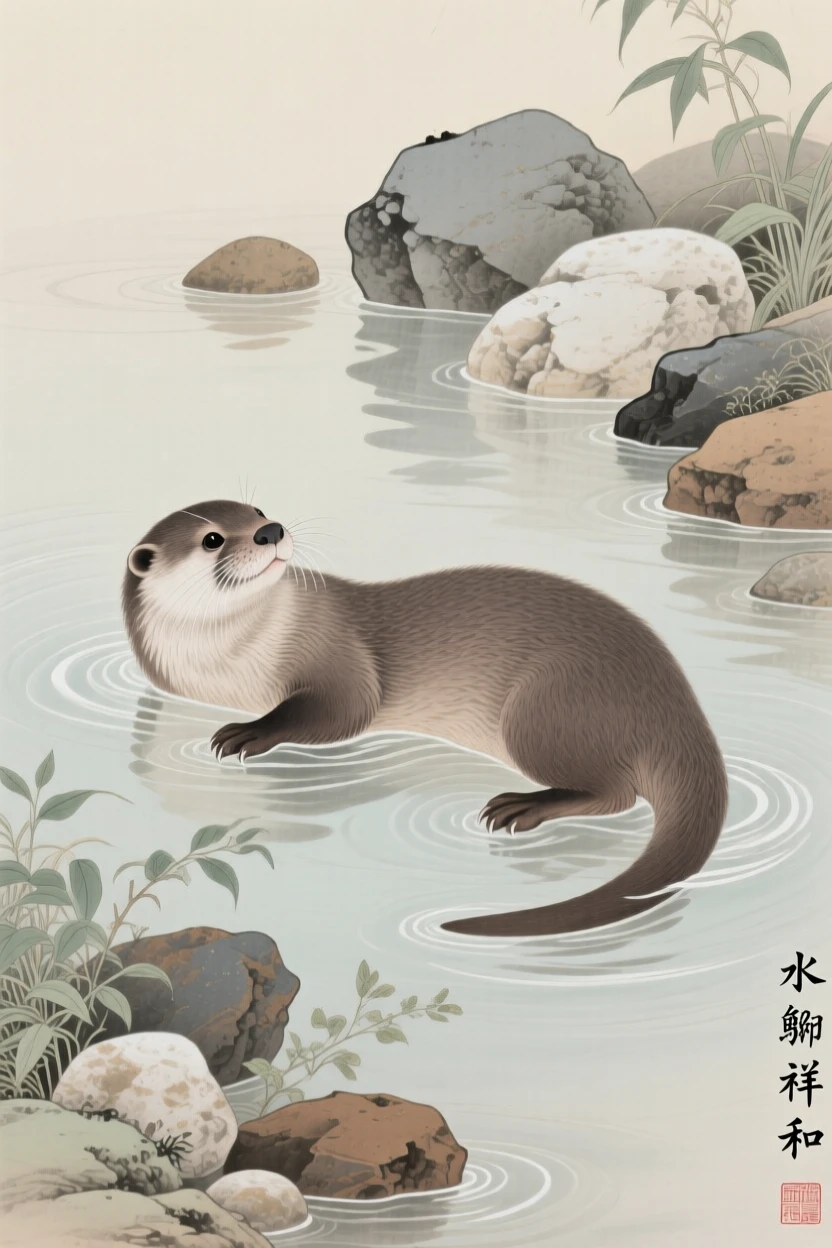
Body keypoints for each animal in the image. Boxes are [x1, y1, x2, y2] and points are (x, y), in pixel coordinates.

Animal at [122, 501, 728, 938]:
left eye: (255, 509)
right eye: (213, 538)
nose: (270, 531)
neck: (228, 665)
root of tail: (676, 702)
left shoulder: (336, 651)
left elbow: (342, 709)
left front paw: (248, 732)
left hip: (547, 707)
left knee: (617, 793)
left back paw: (521, 806)